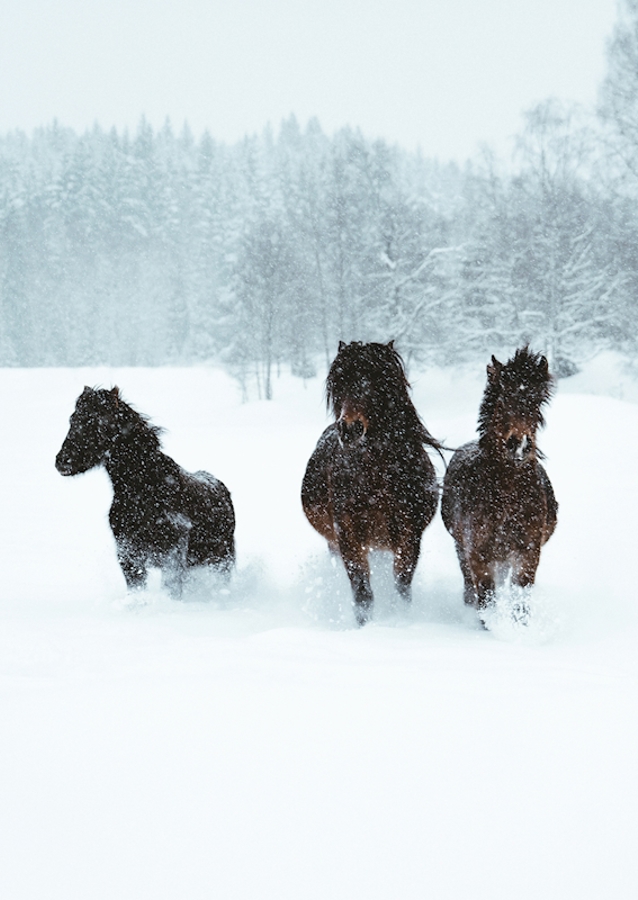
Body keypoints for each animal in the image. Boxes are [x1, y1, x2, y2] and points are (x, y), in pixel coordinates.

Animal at [55, 386, 235, 598]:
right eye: (73, 419)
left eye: (97, 421)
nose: (62, 461)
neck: (144, 490)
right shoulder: (129, 558)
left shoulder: (172, 558)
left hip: (221, 561)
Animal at [301, 340, 442, 625]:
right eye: (339, 382)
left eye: (377, 381)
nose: (350, 429)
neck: (378, 477)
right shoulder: (348, 536)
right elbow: (362, 592)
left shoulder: (409, 536)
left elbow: (401, 585)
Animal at [441, 347, 558, 622]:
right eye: (504, 399)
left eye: (536, 402)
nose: (520, 444)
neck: (507, 496)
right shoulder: (478, 552)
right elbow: (486, 597)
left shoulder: (528, 552)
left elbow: (520, 598)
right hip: (461, 546)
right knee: (469, 585)